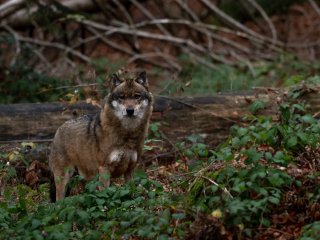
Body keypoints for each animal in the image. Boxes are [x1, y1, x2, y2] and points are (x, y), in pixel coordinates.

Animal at [49, 71, 154, 201]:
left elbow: (131, 191)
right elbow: (105, 194)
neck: (127, 134)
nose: (130, 110)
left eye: (137, 96)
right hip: (64, 178)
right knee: (59, 200)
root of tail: (59, 129)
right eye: (122, 97)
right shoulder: (104, 168)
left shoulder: (130, 170)